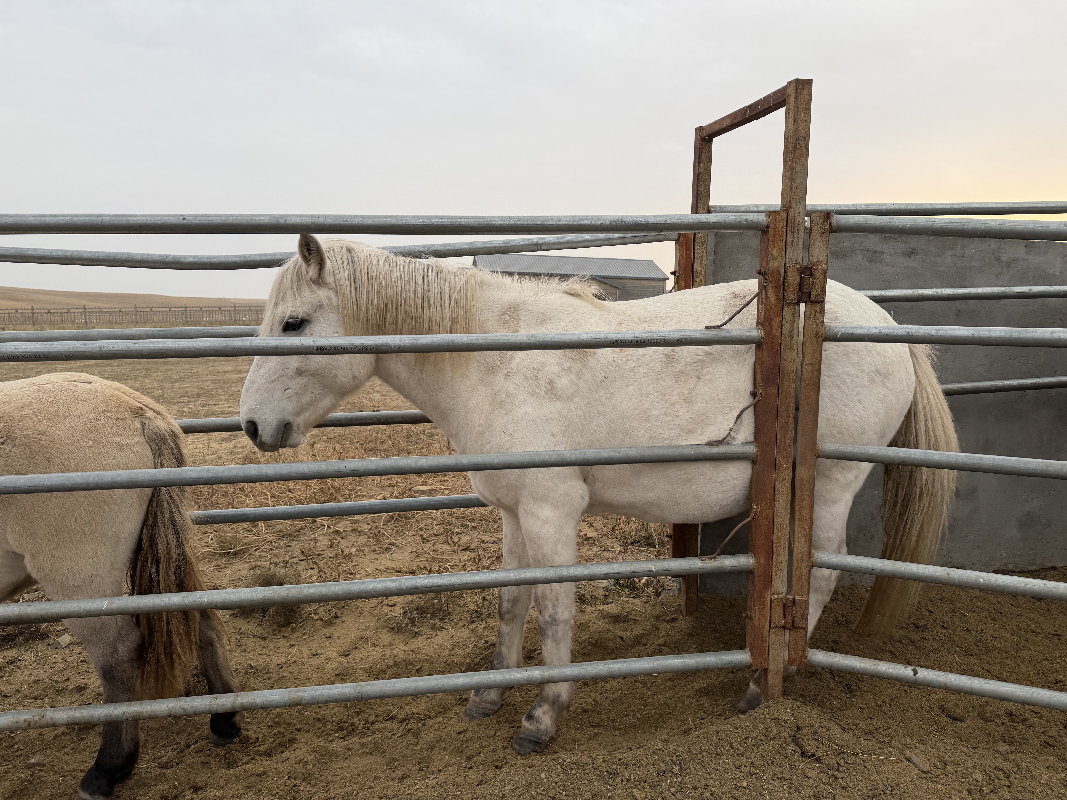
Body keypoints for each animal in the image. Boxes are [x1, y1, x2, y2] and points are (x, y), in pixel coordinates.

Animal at [0, 373, 242, 799]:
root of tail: (136, 410)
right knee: (201, 620)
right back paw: (223, 719)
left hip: (79, 579)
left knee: (117, 655)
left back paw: (108, 768)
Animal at [240, 235, 957, 754]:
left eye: (295, 323)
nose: (252, 426)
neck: (492, 360)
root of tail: (882, 324)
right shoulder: (513, 514)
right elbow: (511, 602)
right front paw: (488, 696)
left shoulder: (552, 512)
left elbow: (555, 611)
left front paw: (541, 718)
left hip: (832, 485)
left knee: (825, 571)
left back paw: (760, 688)